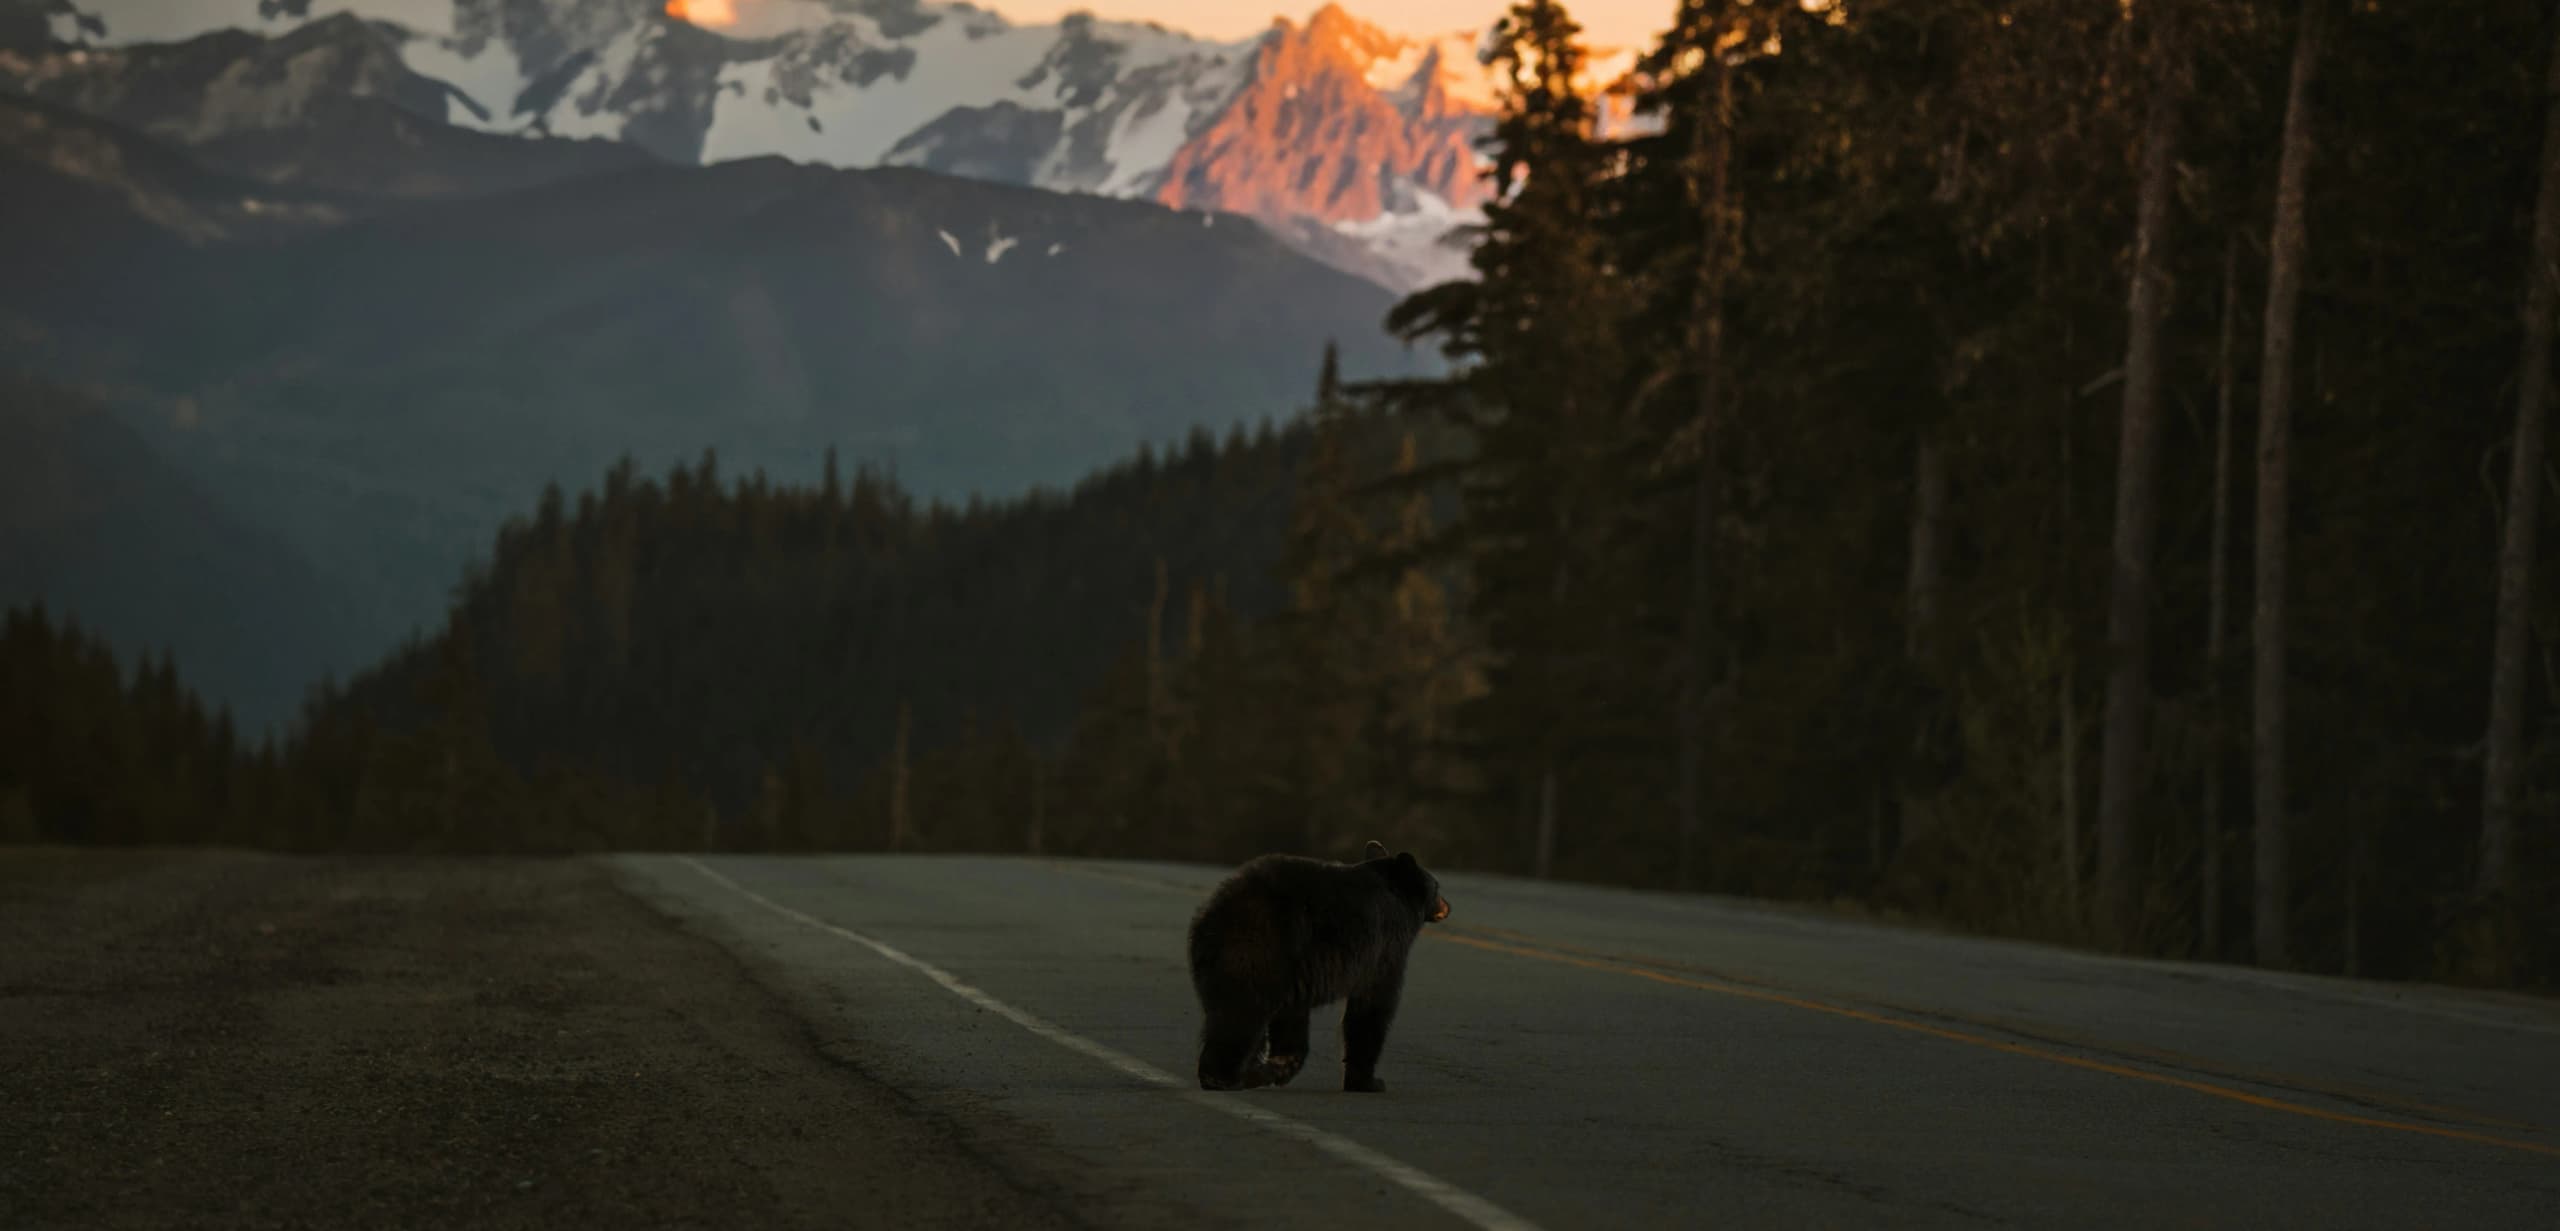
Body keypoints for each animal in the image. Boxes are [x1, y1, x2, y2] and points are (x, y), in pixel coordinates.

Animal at [1186, 839, 1452, 1093]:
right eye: (1437, 886)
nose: (1447, 906)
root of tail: (1216, 914)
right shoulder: (1384, 950)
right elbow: (1371, 1009)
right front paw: (1368, 1082)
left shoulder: (1301, 977)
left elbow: (1293, 1020)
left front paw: (1281, 1065)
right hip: (1259, 952)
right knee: (1241, 1014)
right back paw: (1223, 1078)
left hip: (1224, 962)